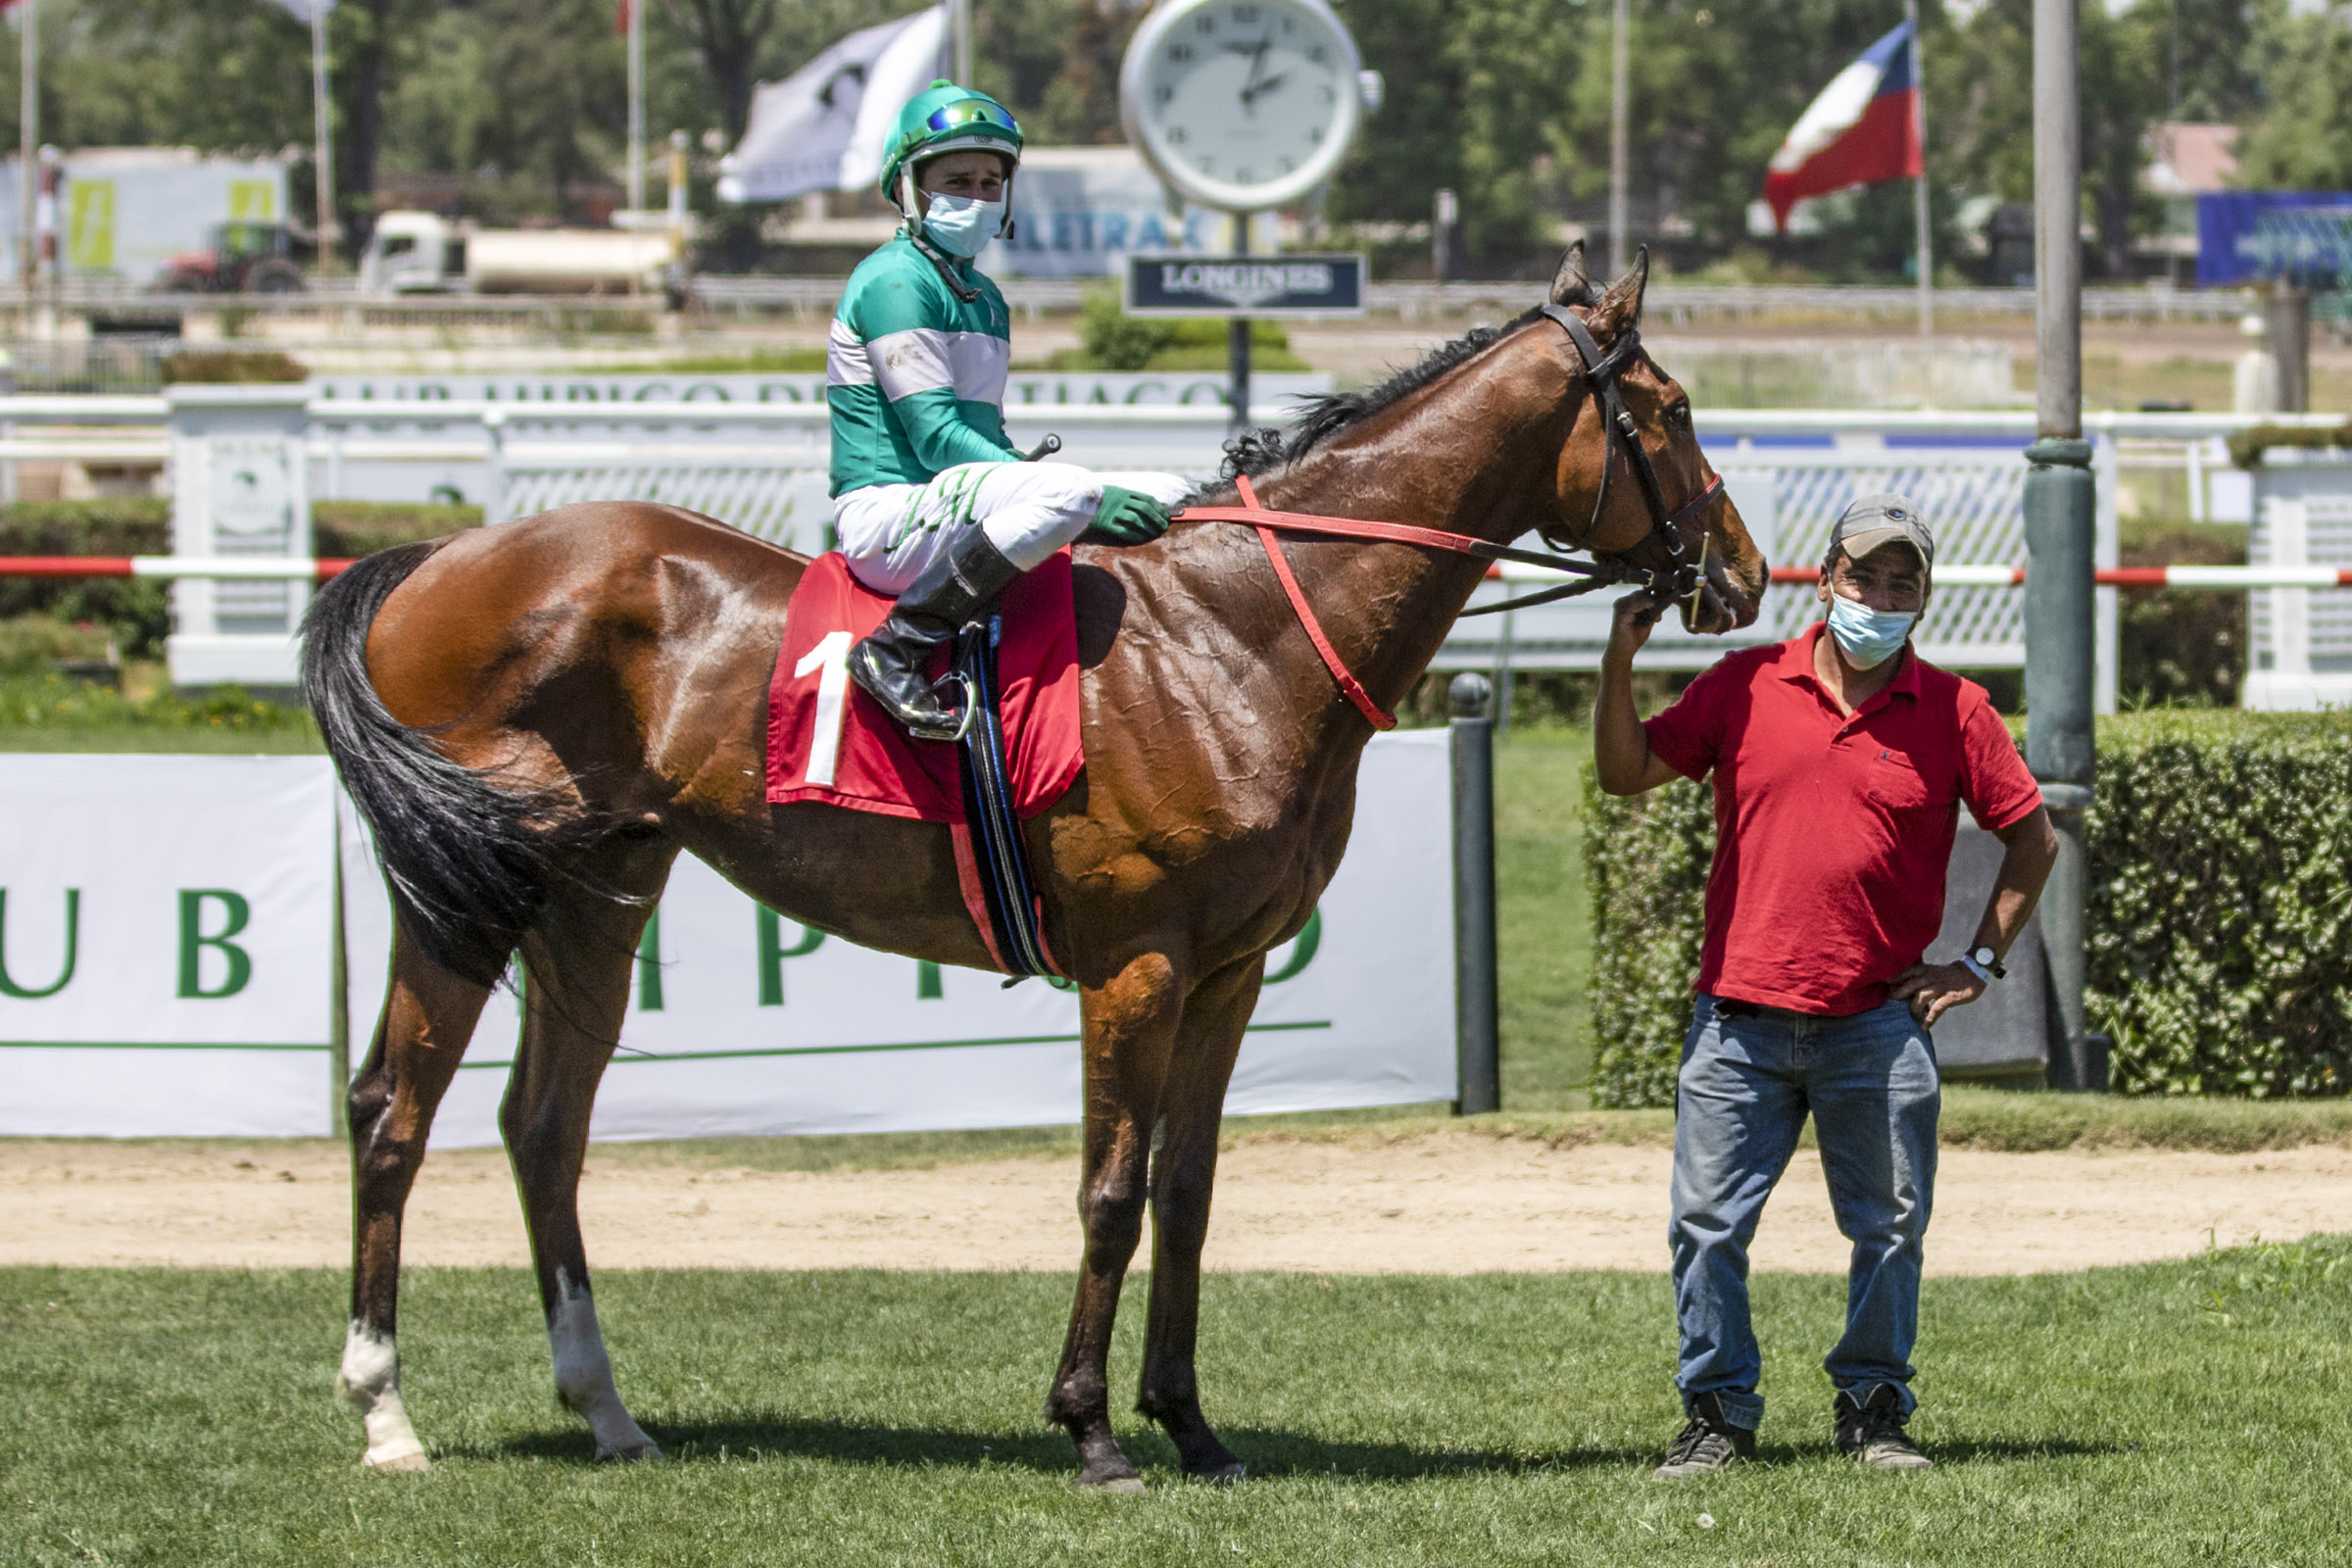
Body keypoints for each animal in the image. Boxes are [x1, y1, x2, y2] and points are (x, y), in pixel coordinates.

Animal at [305, 245, 1767, 1486]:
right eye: (1676, 407)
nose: (1744, 574)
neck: (1237, 631)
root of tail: (434, 557)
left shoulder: (1229, 973)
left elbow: (1188, 1190)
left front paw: (1194, 1426)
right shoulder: (1136, 965)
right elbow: (1110, 1194)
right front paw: (1093, 1429)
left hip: (599, 893)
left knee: (544, 1126)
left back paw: (607, 1412)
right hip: (462, 887)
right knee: (391, 1110)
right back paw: (385, 1413)